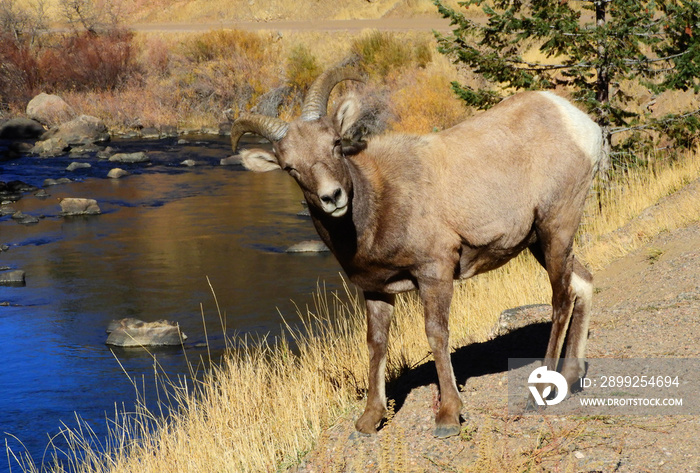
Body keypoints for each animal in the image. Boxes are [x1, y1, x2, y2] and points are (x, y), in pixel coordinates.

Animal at [232, 64, 604, 436]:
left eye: (336, 144)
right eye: (290, 167)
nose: (332, 197)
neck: (378, 206)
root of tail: (579, 124)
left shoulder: (434, 272)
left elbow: (436, 334)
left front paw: (448, 416)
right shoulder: (376, 289)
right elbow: (376, 344)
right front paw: (370, 419)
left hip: (555, 228)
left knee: (561, 298)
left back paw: (539, 393)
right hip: (539, 242)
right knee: (583, 282)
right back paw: (570, 378)